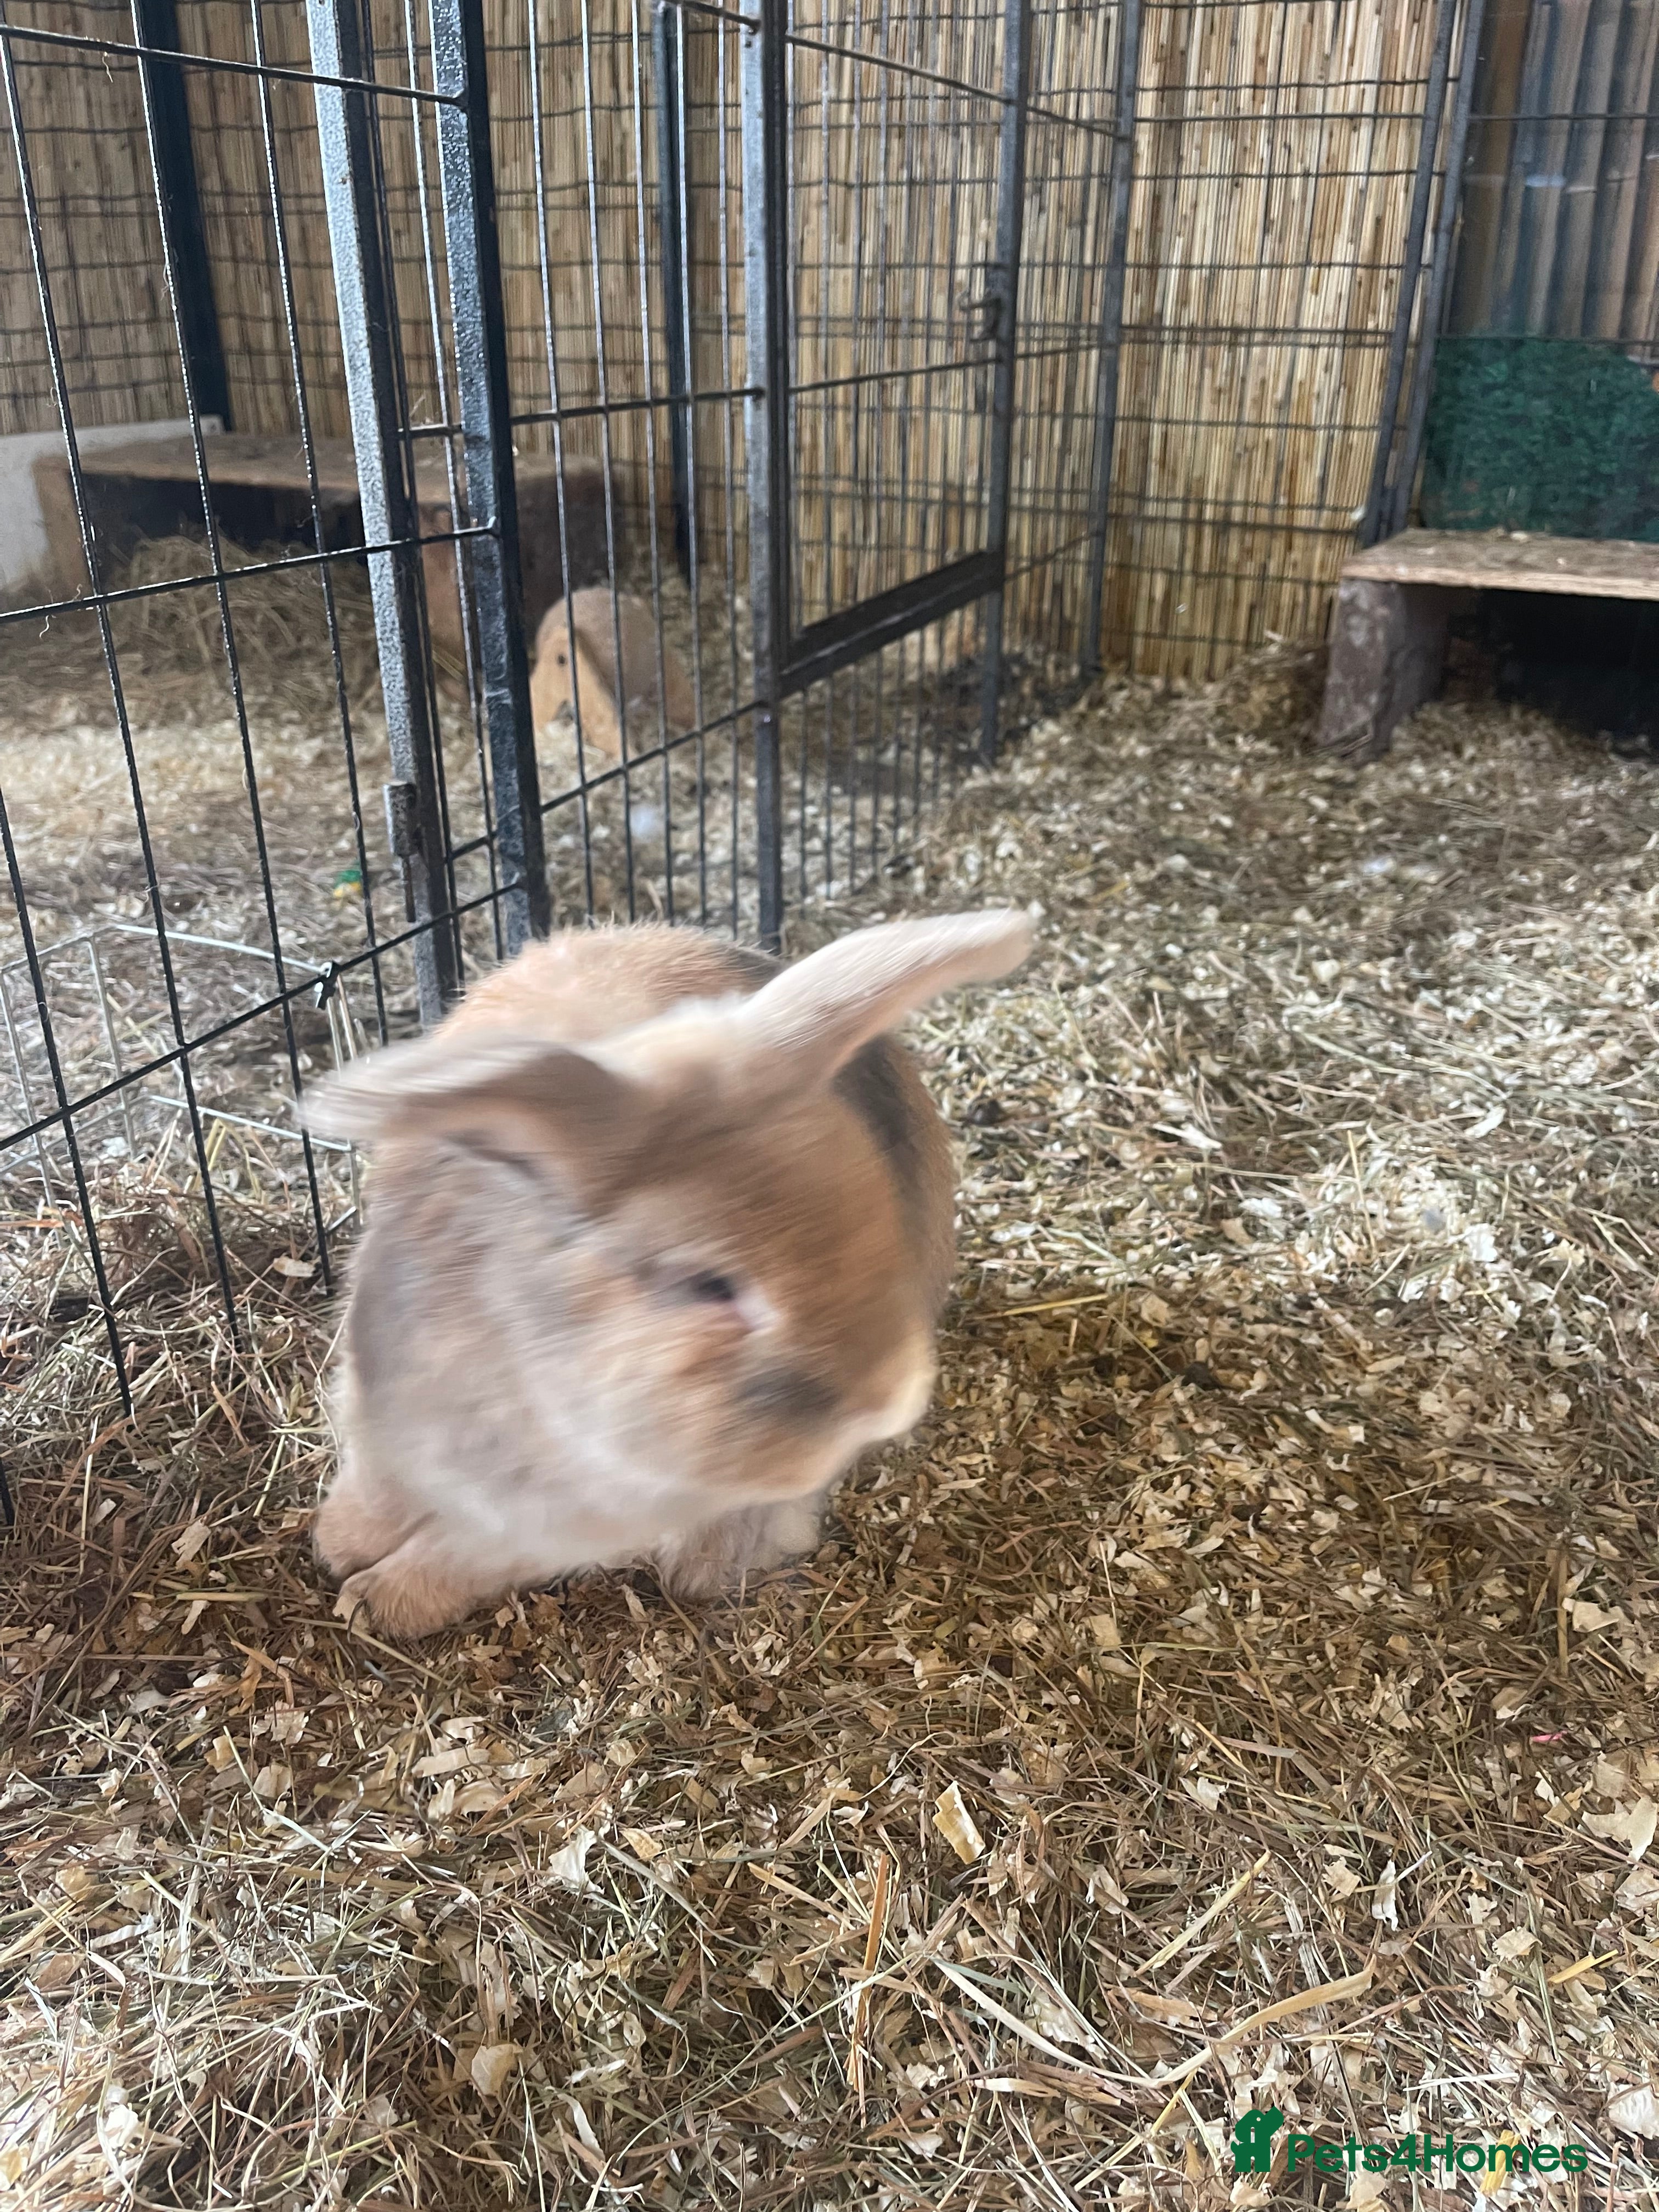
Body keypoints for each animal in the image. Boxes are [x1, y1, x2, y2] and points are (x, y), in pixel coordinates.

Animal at [302, 909, 1033, 1639]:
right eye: (710, 1285)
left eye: (879, 1225)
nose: (885, 1402)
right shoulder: (386, 1412)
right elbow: (378, 1490)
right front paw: (339, 1547)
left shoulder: (546, 1525)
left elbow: (461, 1555)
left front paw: (380, 1597)